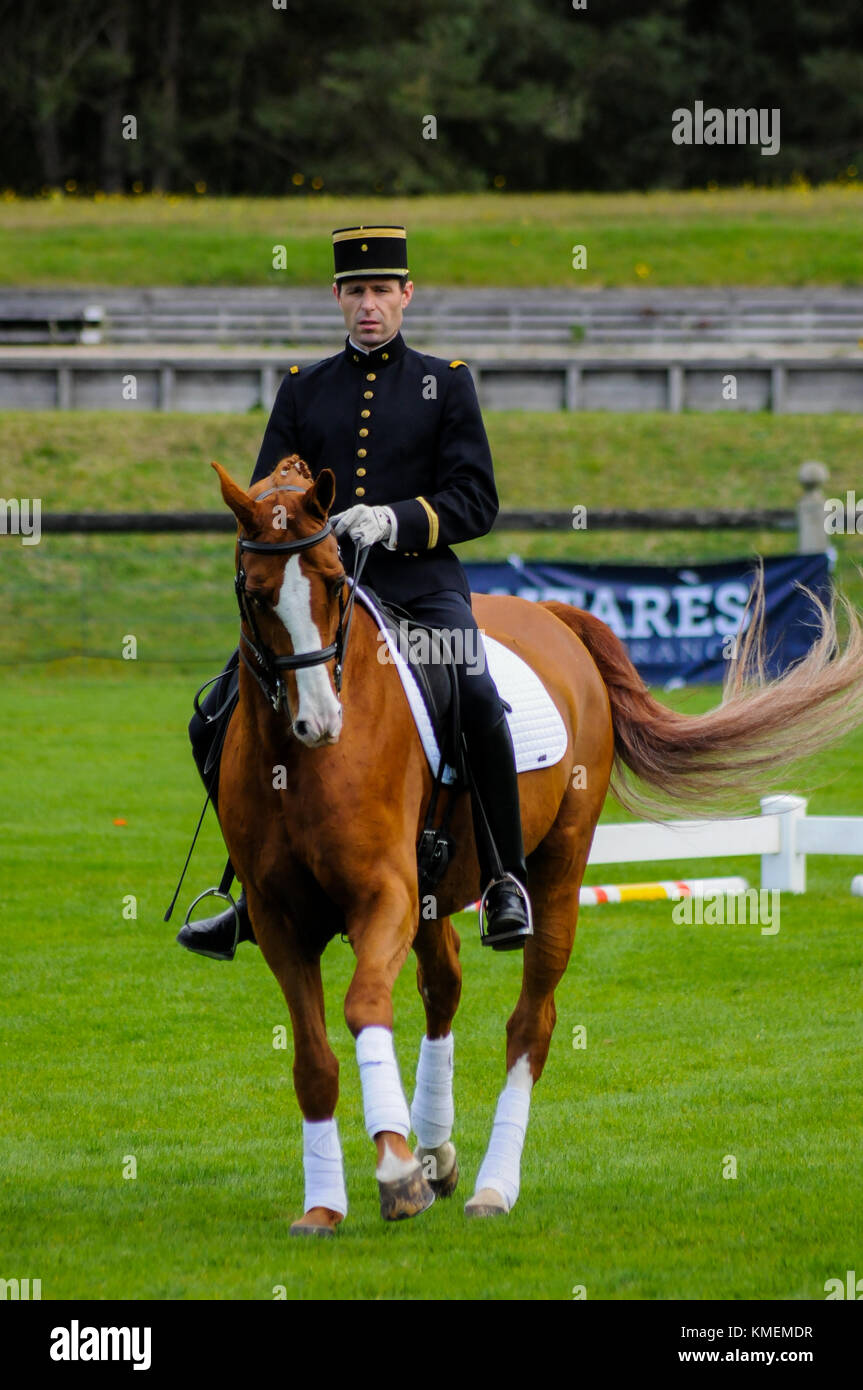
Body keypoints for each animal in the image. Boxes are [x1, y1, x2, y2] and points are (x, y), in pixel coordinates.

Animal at [209, 450, 861, 1234]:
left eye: (336, 580)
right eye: (254, 592)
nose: (320, 723)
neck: (300, 764)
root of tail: (547, 614)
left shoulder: (383, 894)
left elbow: (366, 1006)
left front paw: (394, 1171)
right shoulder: (280, 920)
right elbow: (312, 1061)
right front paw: (325, 1206)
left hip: (556, 867)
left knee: (530, 1023)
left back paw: (492, 1185)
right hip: (437, 885)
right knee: (444, 984)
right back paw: (438, 1152)